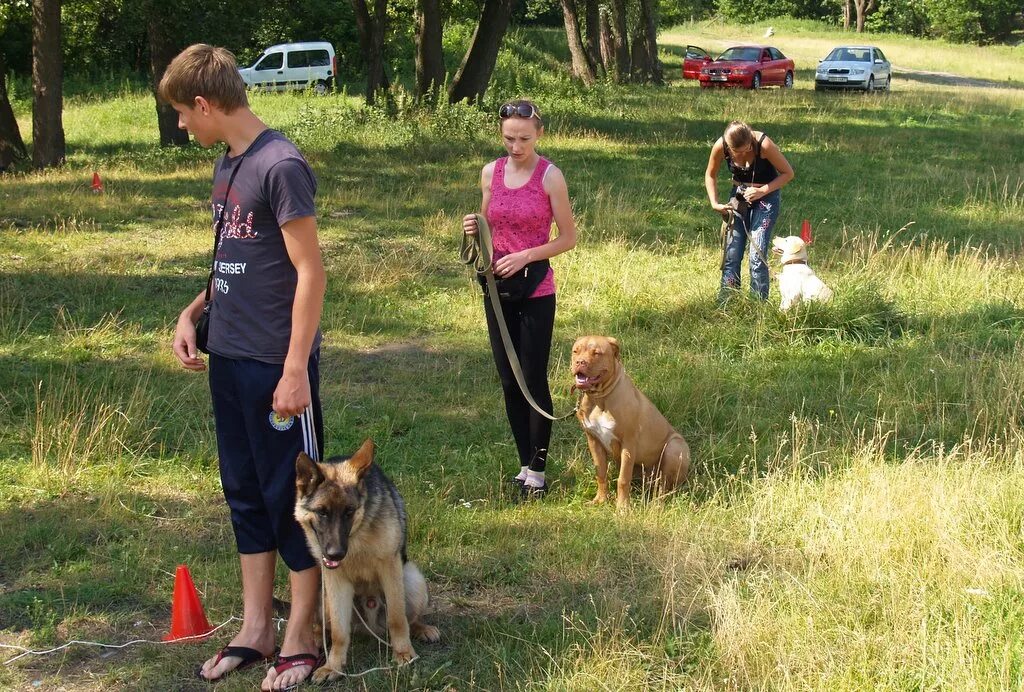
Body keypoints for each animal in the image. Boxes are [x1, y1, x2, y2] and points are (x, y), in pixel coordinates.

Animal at [294, 438, 442, 679]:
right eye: (322, 512)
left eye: (349, 511)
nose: (335, 554)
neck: (356, 536)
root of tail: (370, 628)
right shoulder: (336, 582)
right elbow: (339, 633)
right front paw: (333, 666)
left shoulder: (390, 568)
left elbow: (397, 619)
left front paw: (403, 654)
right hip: (322, 592)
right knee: (325, 626)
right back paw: (315, 637)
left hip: (413, 579)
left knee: (409, 619)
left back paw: (422, 629)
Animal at [573, 335, 692, 507]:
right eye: (575, 351)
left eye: (596, 353)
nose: (579, 362)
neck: (600, 398)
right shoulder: (594, 441)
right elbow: (601, 473)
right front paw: (600, 499)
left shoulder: (628, 443)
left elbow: (623, 479)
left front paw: (622, 507)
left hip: (674, 447)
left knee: (665, 486)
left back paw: (657, 503)